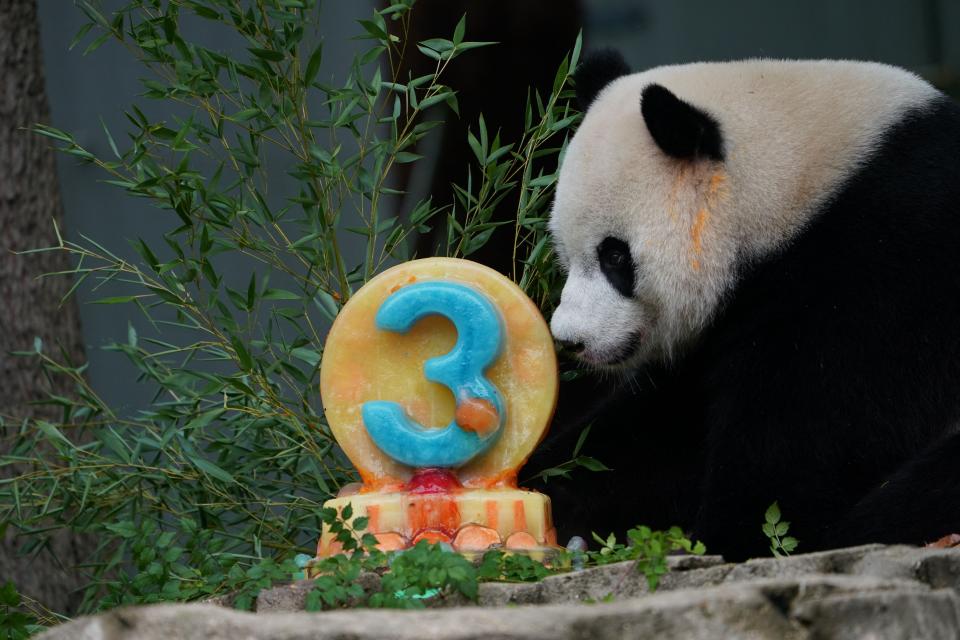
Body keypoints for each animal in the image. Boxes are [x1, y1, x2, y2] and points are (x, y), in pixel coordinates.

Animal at [528, 50, 960, 560]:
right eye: (564, 253)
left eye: (615, 257)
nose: (570, 339)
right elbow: (659, 432)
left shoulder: (882, 267)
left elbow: (815, 427)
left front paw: (731, 534)